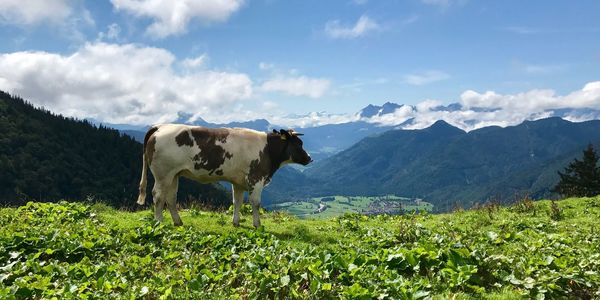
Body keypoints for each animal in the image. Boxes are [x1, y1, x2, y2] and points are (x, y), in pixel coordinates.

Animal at [136, 124, 312, 227]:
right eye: (299, 144)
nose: (310, 158)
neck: (267, 149)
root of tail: (160, 126)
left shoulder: (238, 182)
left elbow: (237, 202)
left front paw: (236, 222)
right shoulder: (256, 179)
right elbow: (255, 203)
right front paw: (257, 224)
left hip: (173, 175)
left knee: (171, 198)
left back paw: (178, 222)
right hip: (163, 174)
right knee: (158, 196)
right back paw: (159, 222)